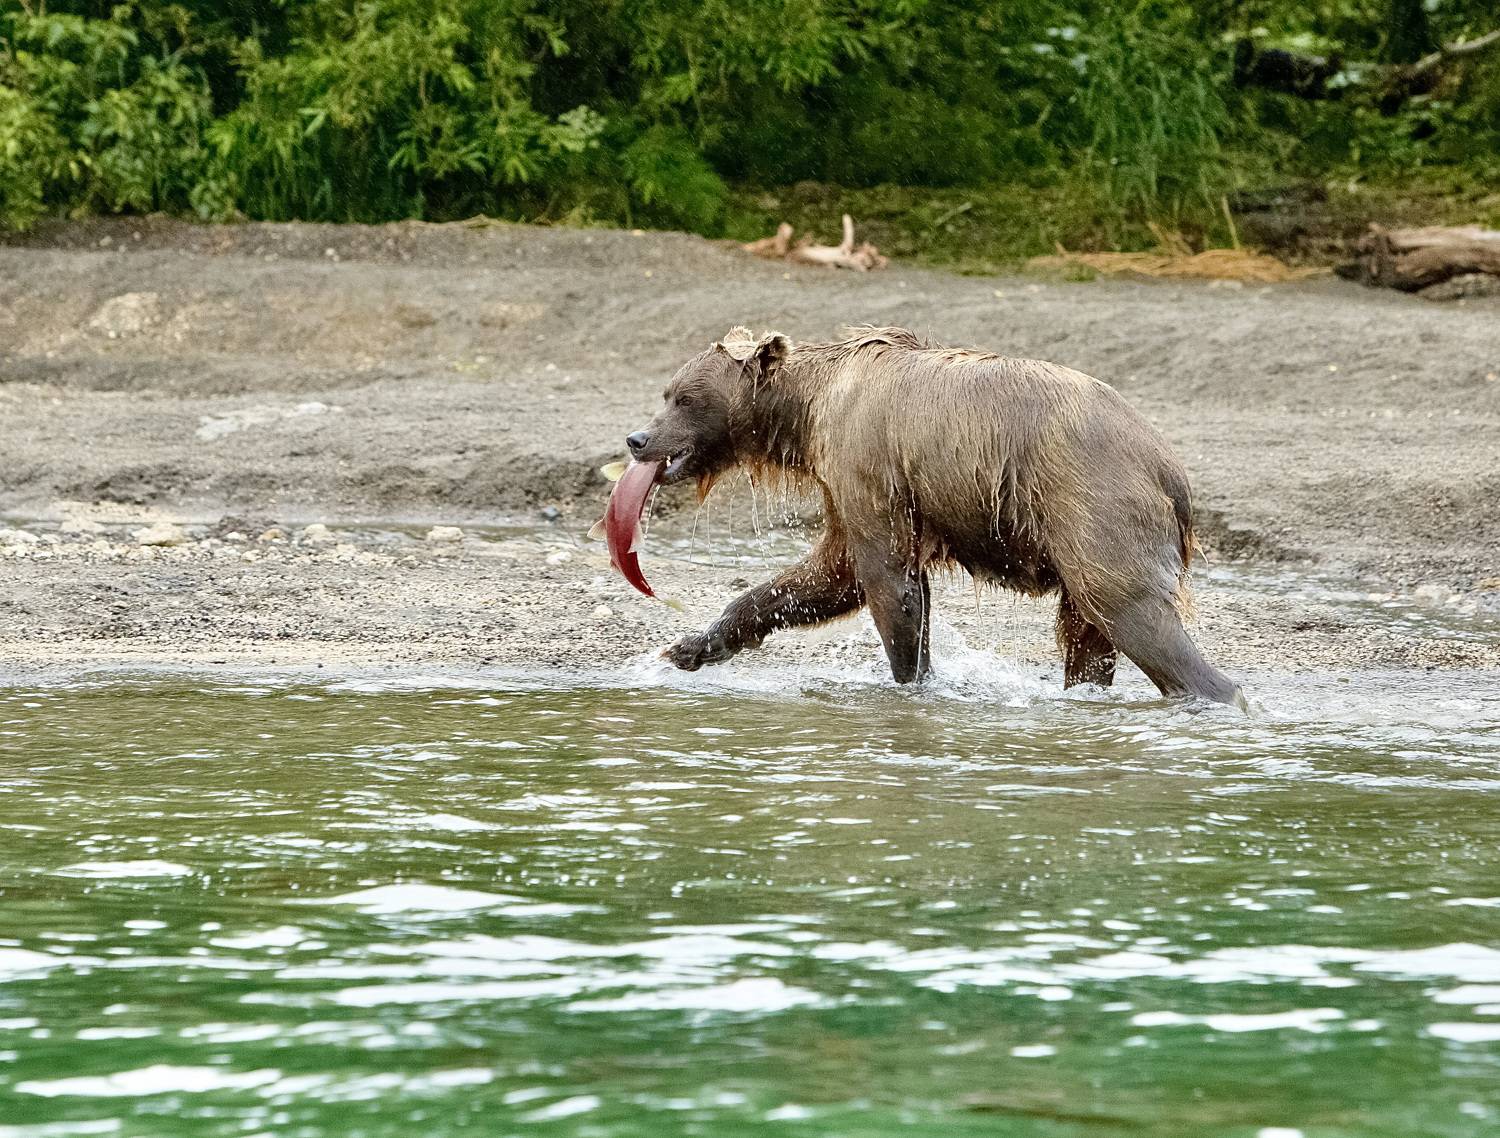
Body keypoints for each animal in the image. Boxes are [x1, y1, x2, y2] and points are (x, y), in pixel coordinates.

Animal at [623, 325, 1243, 706]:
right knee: (1087, 638)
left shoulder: (868, 460)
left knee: (1130, 611)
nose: (638, 439)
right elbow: (828, 576)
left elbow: (887, 581)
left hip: (1095, 506)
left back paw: (1218, 696)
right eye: (667, 392)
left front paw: (911, 682)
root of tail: (1173, 471)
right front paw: (689, 647)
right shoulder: (847, 484)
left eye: (683, 398)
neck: (809, 411)